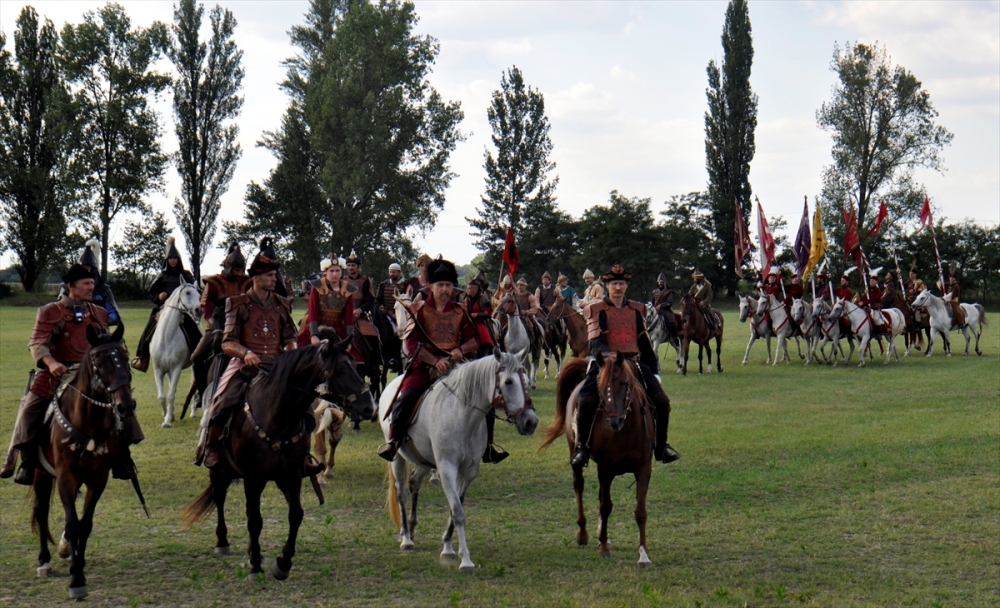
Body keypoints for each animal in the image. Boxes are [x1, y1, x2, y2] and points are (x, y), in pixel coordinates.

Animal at [30, 324, 135, 600]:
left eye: (124, 357)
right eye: (99, 362)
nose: (125, 406)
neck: (88, 422)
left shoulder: (97, 479)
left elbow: (84, 524)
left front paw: (79, 565)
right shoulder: (66, 478)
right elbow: (72, 524)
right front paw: (76, 580)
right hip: (41, 474)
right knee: (41, 512)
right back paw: (44, 561)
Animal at [149, 276, 202, 428]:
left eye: (199, 294)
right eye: (188, 292)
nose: (198, 310)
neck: (166, 337)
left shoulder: (176, 368)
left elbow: (171, 395)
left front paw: (167, 421)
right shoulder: (158, 369)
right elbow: (162, 396)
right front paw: (168, 415)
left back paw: (193, 412)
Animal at [181, 338, 376, 580]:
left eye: (356, 367)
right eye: (339, 369)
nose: (369, 408)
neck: (278, 416)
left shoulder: (291, 476)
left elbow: (296, 514)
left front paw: (283, 563)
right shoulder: (253, 479)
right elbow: (255, 520)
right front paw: (255, 565)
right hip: (219, 469)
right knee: (220, 495)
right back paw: (223, 542)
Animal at [382, 350, 540, 572]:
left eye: (525, 378)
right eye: (508, 382)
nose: (530, 422)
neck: (462, 416)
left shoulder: (468, 471)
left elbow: (454, 506)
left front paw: (448, 547)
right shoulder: (447, 467)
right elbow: (457, 511)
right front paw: (465, 559)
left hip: (424, 460)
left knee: (414, 482)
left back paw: (412, 528)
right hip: (398, 458)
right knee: (401, 492)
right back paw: (406, 538)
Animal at [544, 354, 660, 568]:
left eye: (624, 383)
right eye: (600, 385)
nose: (614, 421)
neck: (626, 431)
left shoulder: (643, 468)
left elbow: (640, 511)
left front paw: (643, 555)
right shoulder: (605, 468)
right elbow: (605, 506)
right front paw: (604, 547)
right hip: (574, 451)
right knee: (579, 486)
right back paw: (583, 533)